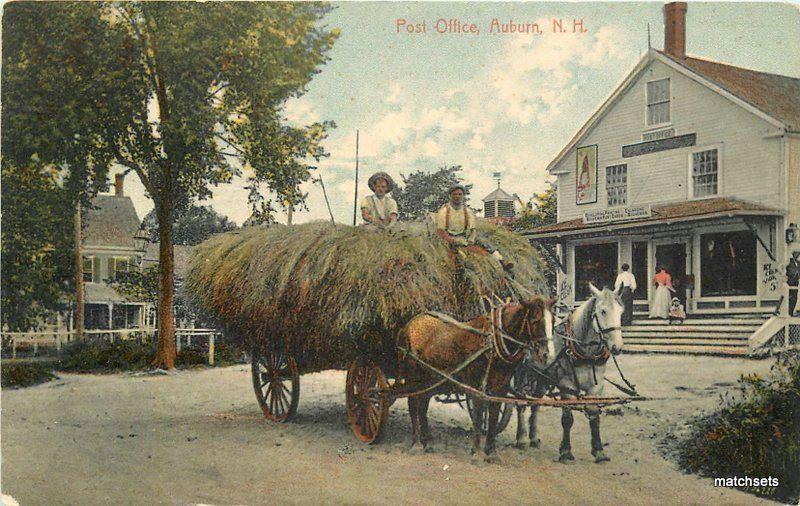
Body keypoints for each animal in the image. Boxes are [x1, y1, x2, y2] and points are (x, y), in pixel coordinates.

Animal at [398, 296, 552, 462]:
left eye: (553, 321)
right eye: (535, 320)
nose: (547, 354)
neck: (492, 342)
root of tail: (410, 324)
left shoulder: (500, 389)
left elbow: (493, 417)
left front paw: (492, 452)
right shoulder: (478, 388)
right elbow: (478, 417)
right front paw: (477, 453)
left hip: (429, 379)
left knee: (423, 406)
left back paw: (427, 443)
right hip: (414, 378)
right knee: (413, 405)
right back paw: (416, 443)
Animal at [512, 282, 624, 464]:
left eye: (621, 311)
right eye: (603, 311)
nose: (617, 347)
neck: (585, 351)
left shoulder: (596, 386)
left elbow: (594, 415)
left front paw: (598, 450)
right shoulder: (566, 385)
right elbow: (567, 419)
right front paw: (565, 451)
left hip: (541, 377)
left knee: (536, 403)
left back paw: (533, 437)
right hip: (521, 372)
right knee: (520, 402)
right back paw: (521, 438)